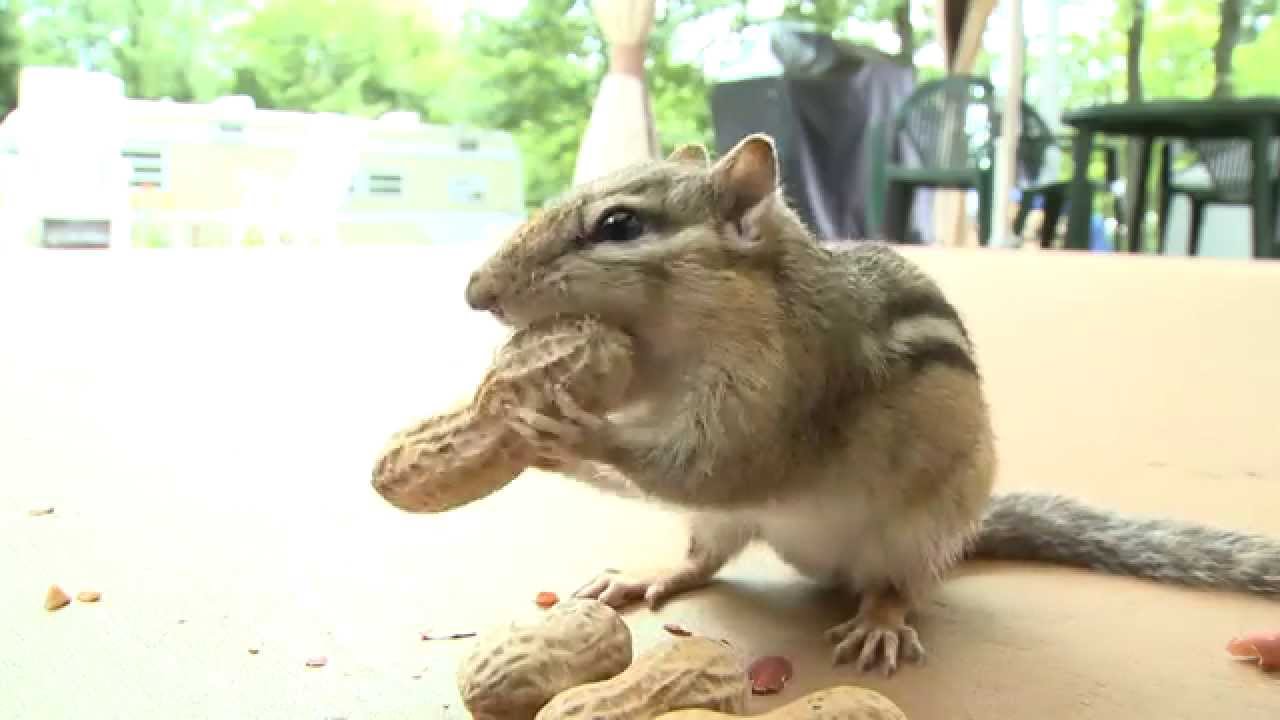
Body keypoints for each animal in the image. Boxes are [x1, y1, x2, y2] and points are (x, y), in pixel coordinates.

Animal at [463, 134, 1280, 676]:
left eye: (619, 225)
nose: (476, 292)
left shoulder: (778, 397)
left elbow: (711, 465)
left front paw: (574, 433)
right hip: (730, 527)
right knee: (704, 557)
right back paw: (647, 574)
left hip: (911, 533)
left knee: (898, 586)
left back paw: (880, 621)